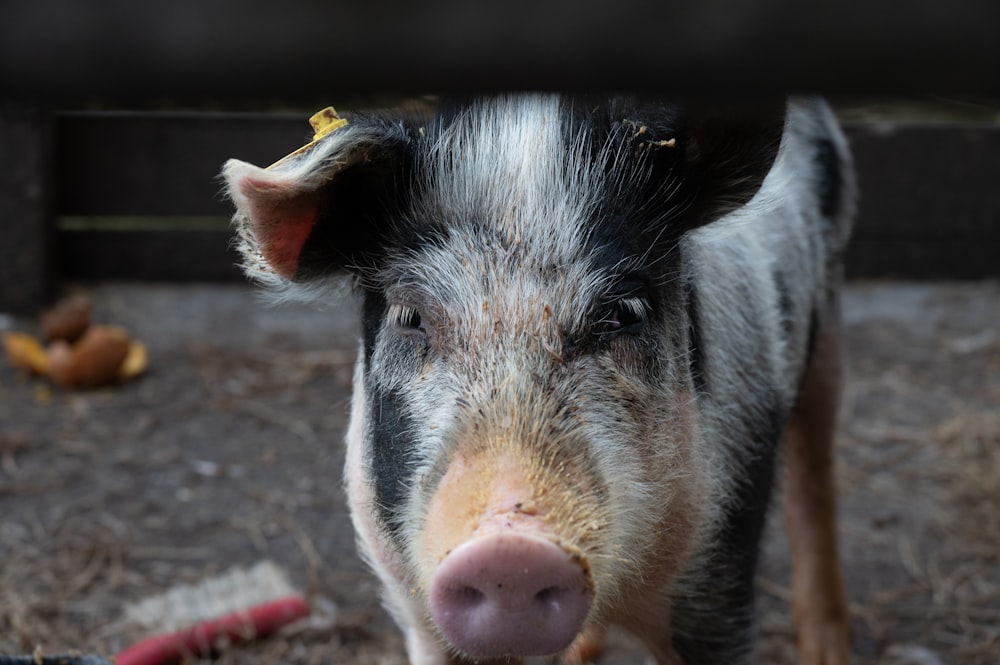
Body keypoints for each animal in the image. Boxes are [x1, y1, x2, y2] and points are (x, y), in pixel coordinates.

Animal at [223, 94, 856, 664]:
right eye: (409, 316)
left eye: (626, 312)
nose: (508, 554)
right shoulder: (409, 596)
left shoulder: (717, 578)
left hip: (829, 304)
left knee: (815, 473)